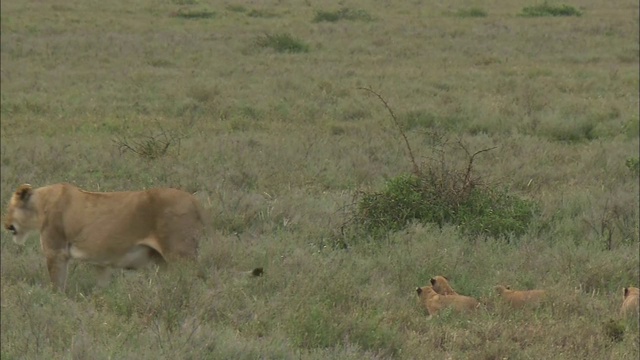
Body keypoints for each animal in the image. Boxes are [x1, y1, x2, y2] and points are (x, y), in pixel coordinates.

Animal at [3, 184, 206, 292]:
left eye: (9, 208)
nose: (5, 224)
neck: (40, 205)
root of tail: (195, 201)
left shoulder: (56, 252)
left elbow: (57, 283)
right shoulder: (101, 261)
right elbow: (101, 285)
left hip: (181, 255)